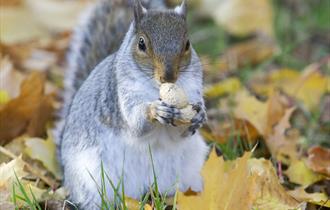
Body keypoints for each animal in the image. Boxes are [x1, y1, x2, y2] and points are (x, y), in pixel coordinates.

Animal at [55, 0, 208, 208]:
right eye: (141, 43)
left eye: (187, 44)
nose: (168, 76)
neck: (156, 89)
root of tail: (140, 191)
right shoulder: (120, 96)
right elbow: (136, 124)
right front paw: (154, 110)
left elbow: (179, 134)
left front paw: (199, 116)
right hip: (89, 179)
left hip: (188, 172)